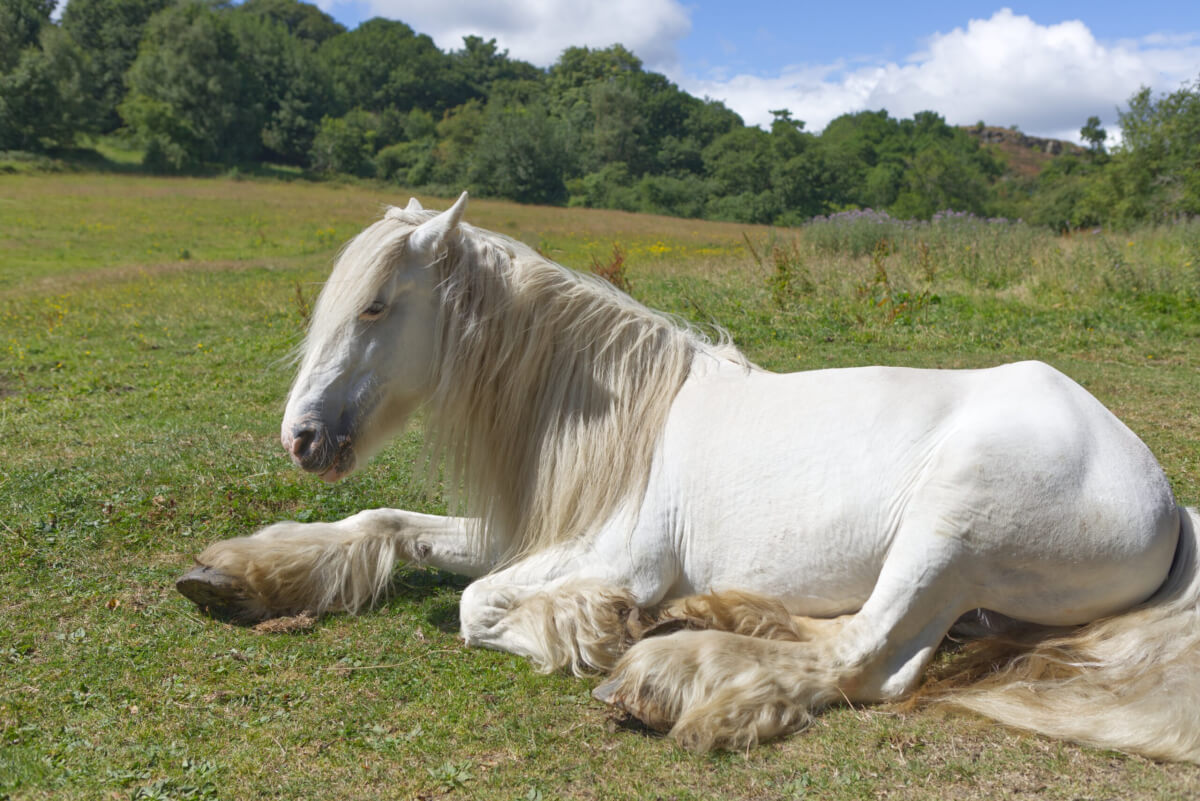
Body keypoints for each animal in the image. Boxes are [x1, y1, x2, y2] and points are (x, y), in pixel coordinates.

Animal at [180, 194, 1200, 762]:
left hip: (952, 529)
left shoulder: (610, 554)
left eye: (377, 305)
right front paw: (238, 573)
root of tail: (1161, 493)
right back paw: (710, 617)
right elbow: (381, 522)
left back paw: (668, 669)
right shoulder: (529, 532)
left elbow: (476, 605)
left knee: (865, 654)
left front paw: (595, 627)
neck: (623, 423)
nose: (302, 436)